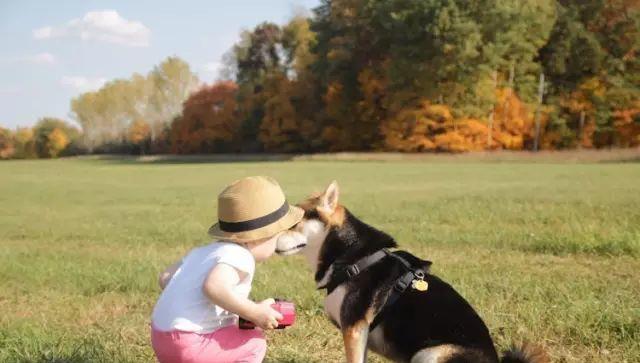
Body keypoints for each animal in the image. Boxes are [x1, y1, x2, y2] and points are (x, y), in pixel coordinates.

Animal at [276, 182, 552, 363]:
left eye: (294, 223)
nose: (269, 239)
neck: (351, 258)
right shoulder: (359, 333)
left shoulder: (354, 328)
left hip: (430, 353)